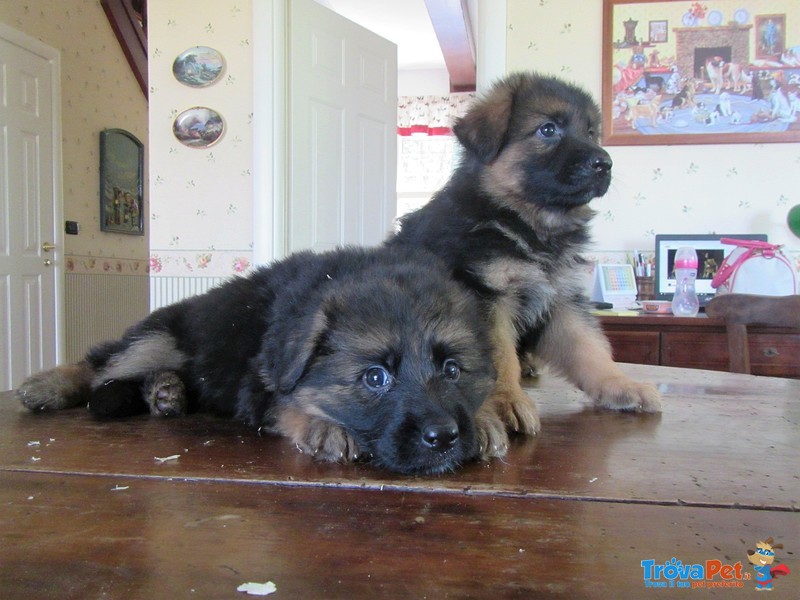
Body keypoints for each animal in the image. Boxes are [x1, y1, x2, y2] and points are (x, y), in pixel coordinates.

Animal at [18, 246, 496, 476]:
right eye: (376, 377)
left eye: (453, 370)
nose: (443, 437)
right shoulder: (260, 384)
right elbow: (289, 404)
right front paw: (325, 427)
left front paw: (486, 418)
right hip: (157, 339)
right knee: (99, 363)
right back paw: (45, 385)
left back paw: (165, 393)